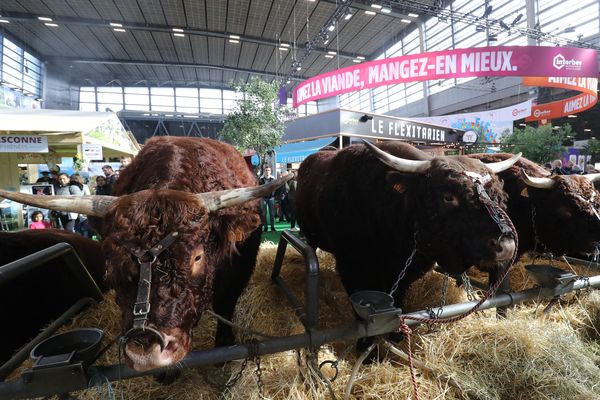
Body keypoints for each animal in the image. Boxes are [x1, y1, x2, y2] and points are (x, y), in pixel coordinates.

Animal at [0, 138, 290, 372]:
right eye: (112, 262)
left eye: (197, 258)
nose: (146, 351)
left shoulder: (237, 273)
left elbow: (226, 308)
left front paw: (223, 350)